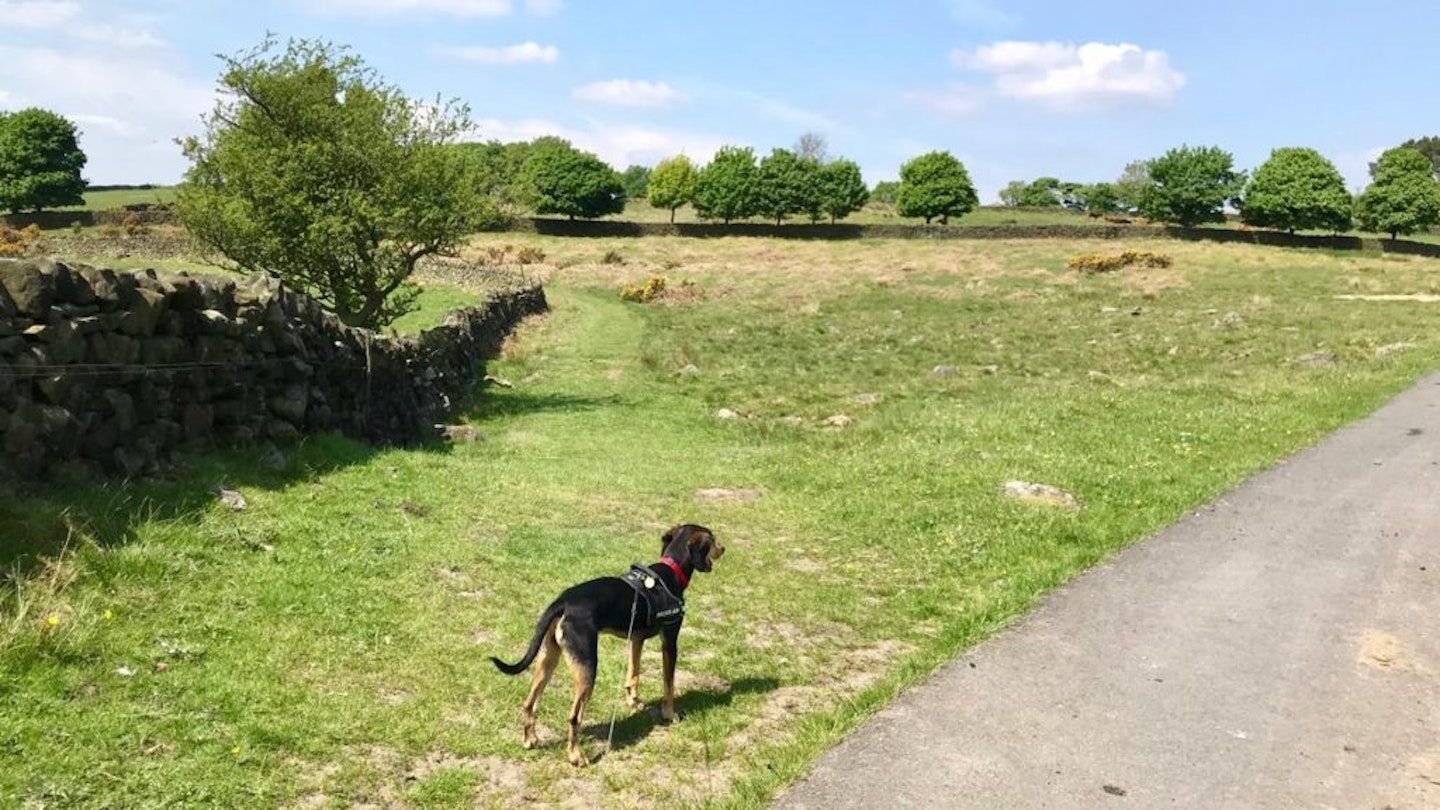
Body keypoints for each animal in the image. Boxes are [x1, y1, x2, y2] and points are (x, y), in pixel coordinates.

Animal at [492, 524, 725, 760]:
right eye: (713, 540)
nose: (723, 548)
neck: (671, 571)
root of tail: (563, 601)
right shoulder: (669, 640)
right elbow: (668, 683)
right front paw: (669, 714)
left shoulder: (636, 638)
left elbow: (633, 673)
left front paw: (633, 702)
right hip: (587, 666)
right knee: (574, 716)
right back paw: (576, 756)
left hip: (549, 658)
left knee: (529, 703)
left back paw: (530, 739)